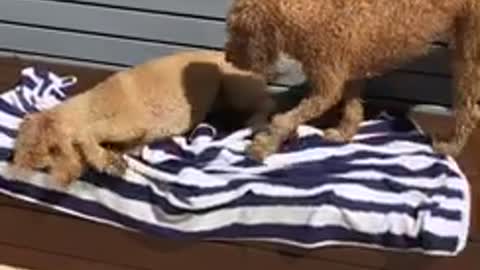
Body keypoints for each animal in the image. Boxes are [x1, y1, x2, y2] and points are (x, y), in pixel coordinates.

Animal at [12, 49, 274, 187]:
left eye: (53, 150)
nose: (15, 167)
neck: (88, 109)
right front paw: (111, 159)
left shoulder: (128, 125)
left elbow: (89, 136)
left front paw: (101, 160)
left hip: (235, 88)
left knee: (266, 104)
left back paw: (255, 123)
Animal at [224, 0, 480, 160]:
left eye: (238, 31)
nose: (227, 57)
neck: (308, 13)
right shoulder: (350, 72)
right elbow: (352, 107)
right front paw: (344, 134)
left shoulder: (327, 86)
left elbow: (285, 119)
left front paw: (262, 146)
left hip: (470, 51)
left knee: (470, 110)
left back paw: (451, 147)